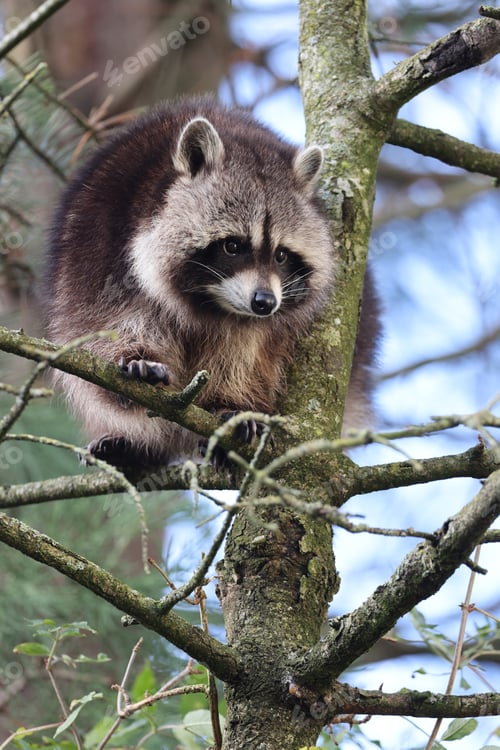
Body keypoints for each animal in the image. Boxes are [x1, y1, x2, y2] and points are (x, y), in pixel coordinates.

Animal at [45, 96, 377, 468]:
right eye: (233, 246)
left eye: (281, 255)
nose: (264, 302)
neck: (207, 299)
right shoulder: (100, 250)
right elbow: (103, 327)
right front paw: (136, 356)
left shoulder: (261, 323)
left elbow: (247, 352)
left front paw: (233, 402)